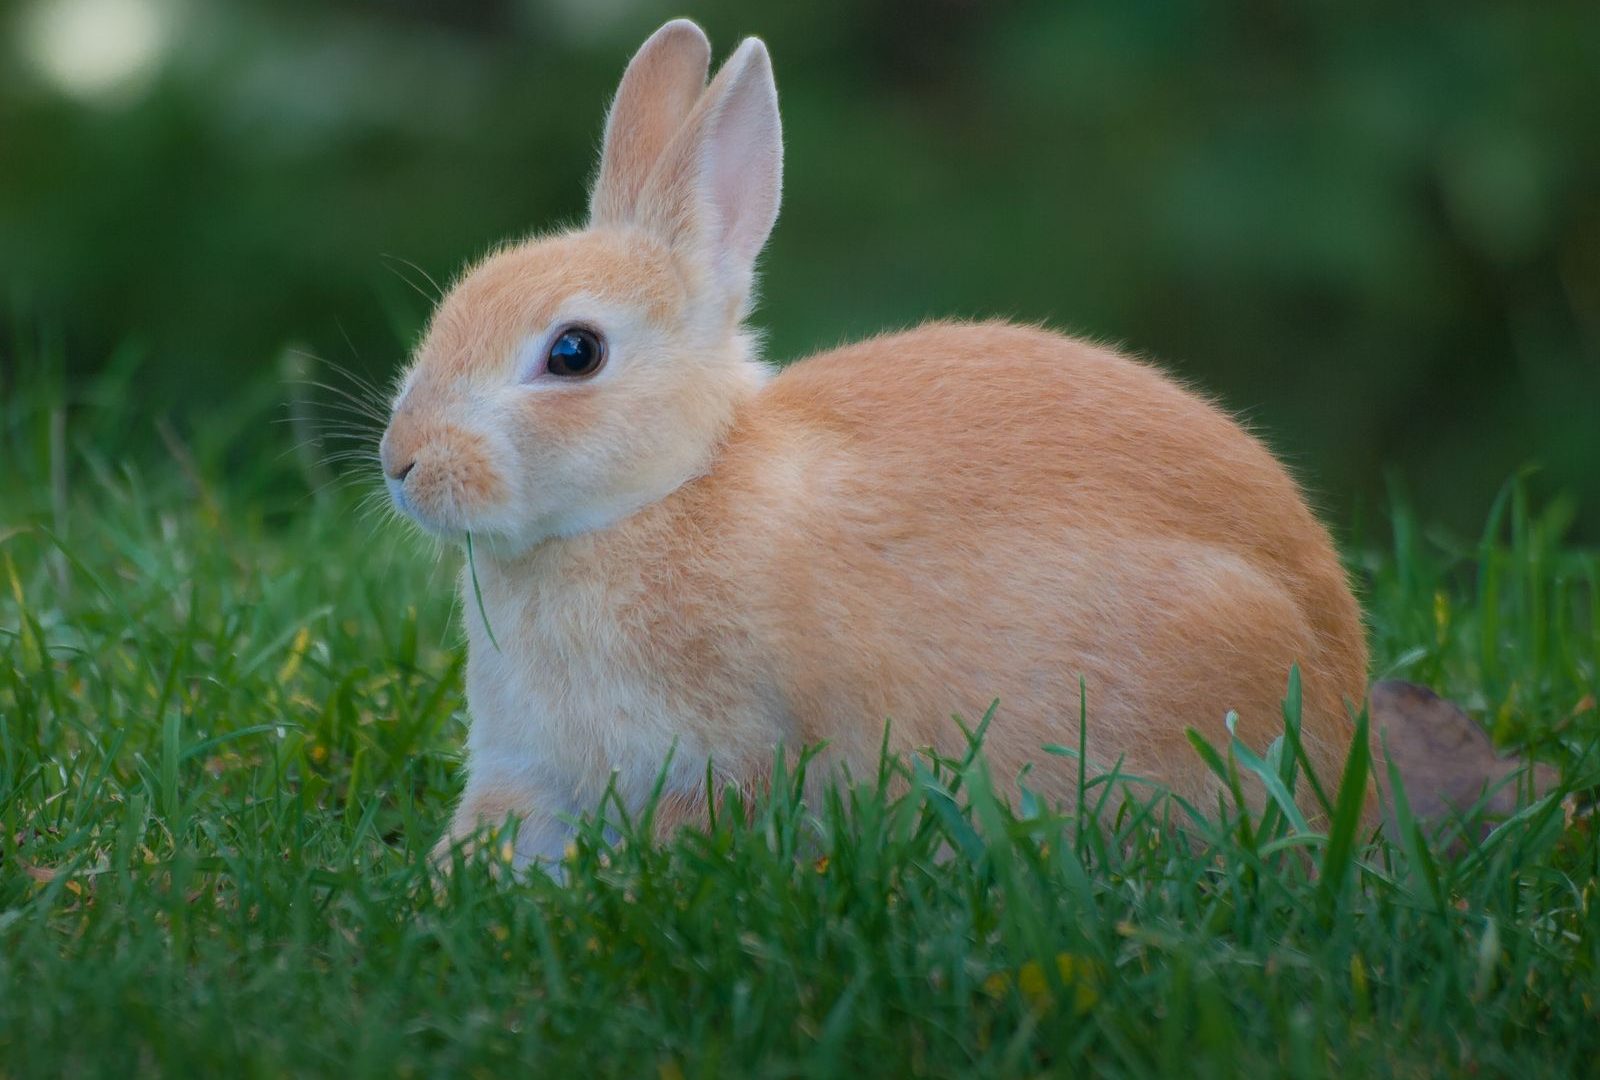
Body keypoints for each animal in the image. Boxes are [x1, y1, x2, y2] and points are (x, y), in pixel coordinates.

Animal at [378, 19, 1370, 870]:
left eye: (574, 353)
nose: (402, 464)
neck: (665, 491)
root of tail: (1342, 688)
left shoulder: (717, 755)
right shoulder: (528, 769)